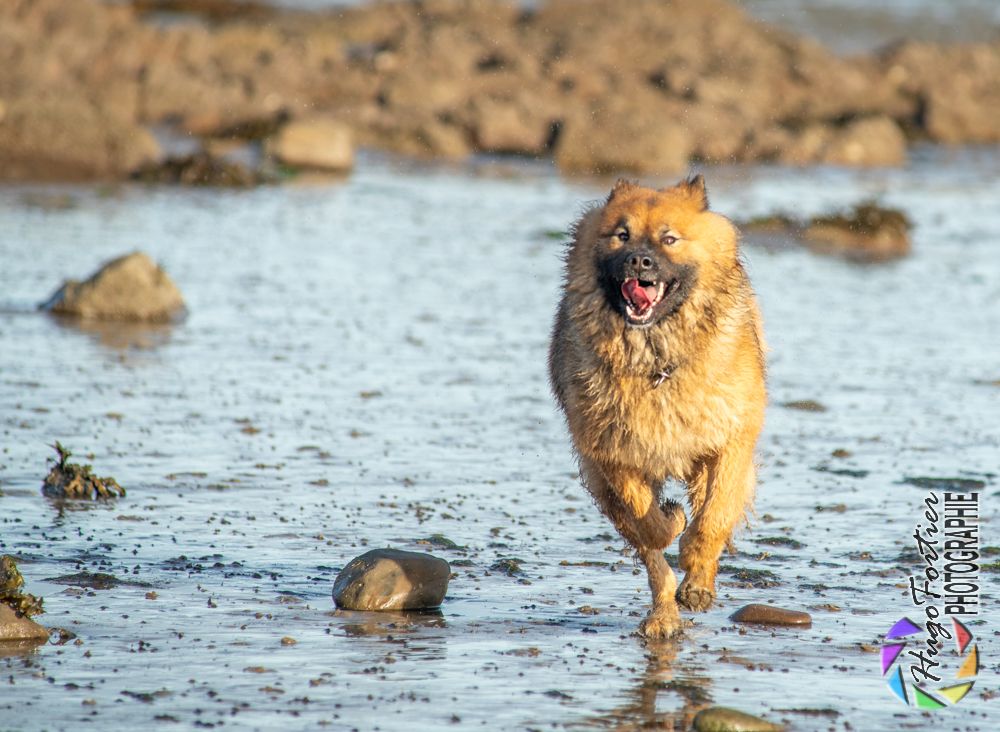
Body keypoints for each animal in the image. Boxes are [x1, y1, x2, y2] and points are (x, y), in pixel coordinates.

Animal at [548, 174, 764, 636]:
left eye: (669, 239)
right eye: (622, 236)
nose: (638, 262)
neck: (656, 362)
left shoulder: (730, 440)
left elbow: (713, 518)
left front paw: (696, 567)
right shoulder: (613, 454)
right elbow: (648, 526)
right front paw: (670, 522)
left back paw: (695, 586)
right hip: (601, 485)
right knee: (651, 561)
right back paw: (663, 616)